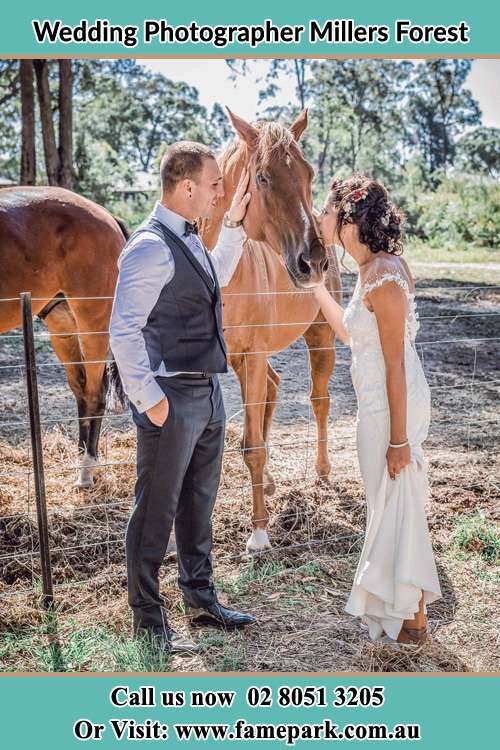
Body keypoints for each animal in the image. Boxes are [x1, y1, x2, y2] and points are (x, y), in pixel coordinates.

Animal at [0, 188, 127, 488]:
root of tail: (107, 216)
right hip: (62, 324)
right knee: (81, 389)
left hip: (93, 323)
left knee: (95, 393)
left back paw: (86, 469)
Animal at [201, 110, 342, 552]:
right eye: (262, 177)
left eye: (309, 172)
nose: (312, 261)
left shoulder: (254, 355)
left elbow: (253, 446)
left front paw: (259, 532)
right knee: (275, 389)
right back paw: (271, 482)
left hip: (320, 340)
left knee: (319, 401)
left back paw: (322, 471)